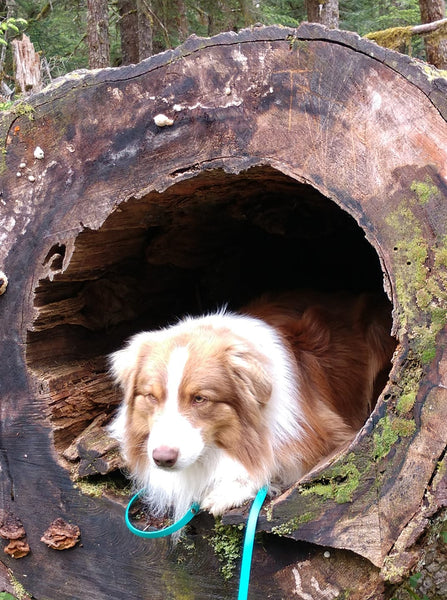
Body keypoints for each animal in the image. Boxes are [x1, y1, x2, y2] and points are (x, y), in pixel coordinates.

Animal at [108, 292, 396, 528]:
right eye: (151, 396)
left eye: (200, 398)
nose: (162, 458)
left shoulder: (327, 433)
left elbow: (274, 464)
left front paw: (230, 489)